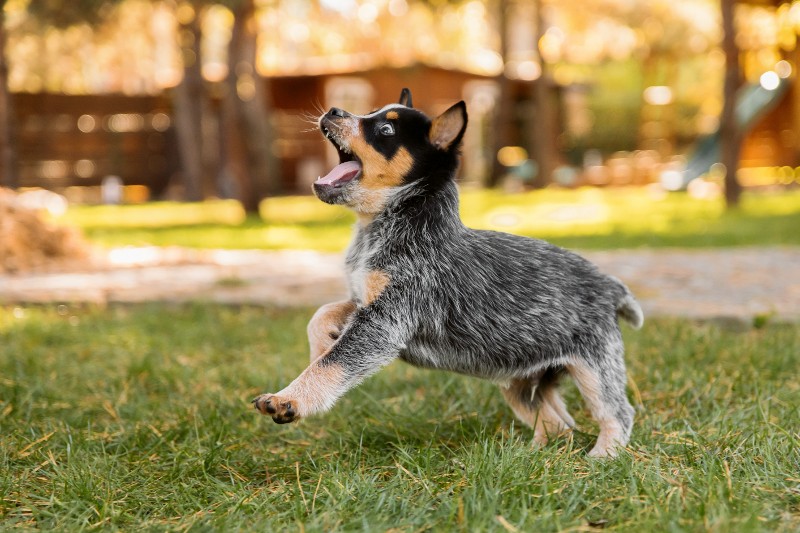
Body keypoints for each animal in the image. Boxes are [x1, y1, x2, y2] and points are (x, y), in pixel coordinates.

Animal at [256, 88, 644, 458]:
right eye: (370, 112)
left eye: (385, 130)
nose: (335, 110)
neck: (386, 226)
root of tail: (610, 285)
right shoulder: (364, 301)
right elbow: (321, 317)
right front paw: (319, 347)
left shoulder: (386, 320)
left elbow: (334, 364)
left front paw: (290, 398)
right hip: (520, 382)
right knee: (559, 424)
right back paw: (530, 456)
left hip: (595, 369)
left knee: (617, 412)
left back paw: (603, 456)